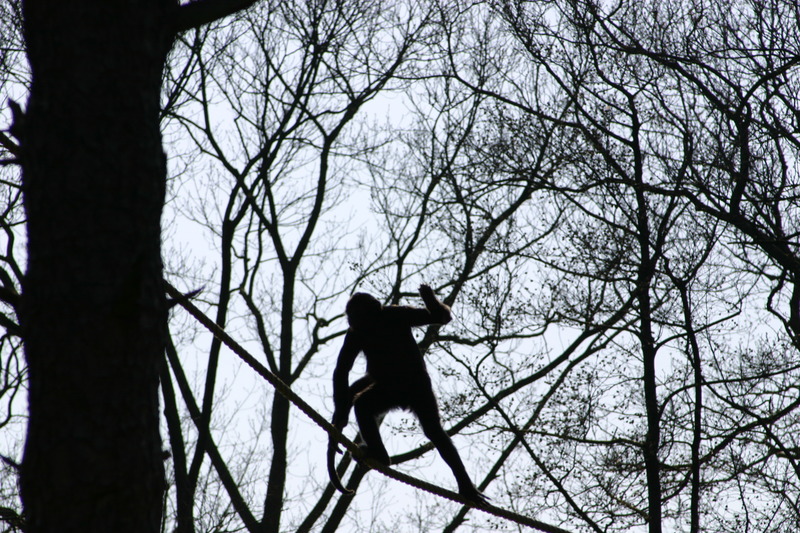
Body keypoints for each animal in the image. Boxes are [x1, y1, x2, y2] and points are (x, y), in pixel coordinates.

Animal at [327, 285, 487, 504]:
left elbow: (440, 317)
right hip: (410, 394)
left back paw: (381, 456)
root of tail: (404, 399)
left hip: (405, 391)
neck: (376, 324)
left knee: (366, 406)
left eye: (355, 311)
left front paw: (428, 297)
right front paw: (340, 417)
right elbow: (342, 370)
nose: (350, 318)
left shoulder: (392, 314)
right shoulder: (357, 332)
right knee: (434, 430)